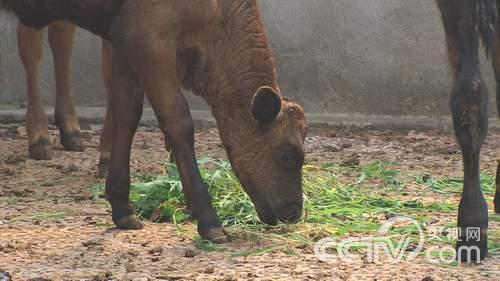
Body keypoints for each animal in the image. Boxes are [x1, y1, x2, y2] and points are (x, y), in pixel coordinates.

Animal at [0, 0, 308, 241]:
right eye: (286, 154)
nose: (294, 212)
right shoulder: (149, 39)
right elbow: (178, 120)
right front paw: (209, 220)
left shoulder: (123, 42)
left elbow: (127, 112)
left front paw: (123, 208)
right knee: (33, 47)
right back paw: (40, 137)